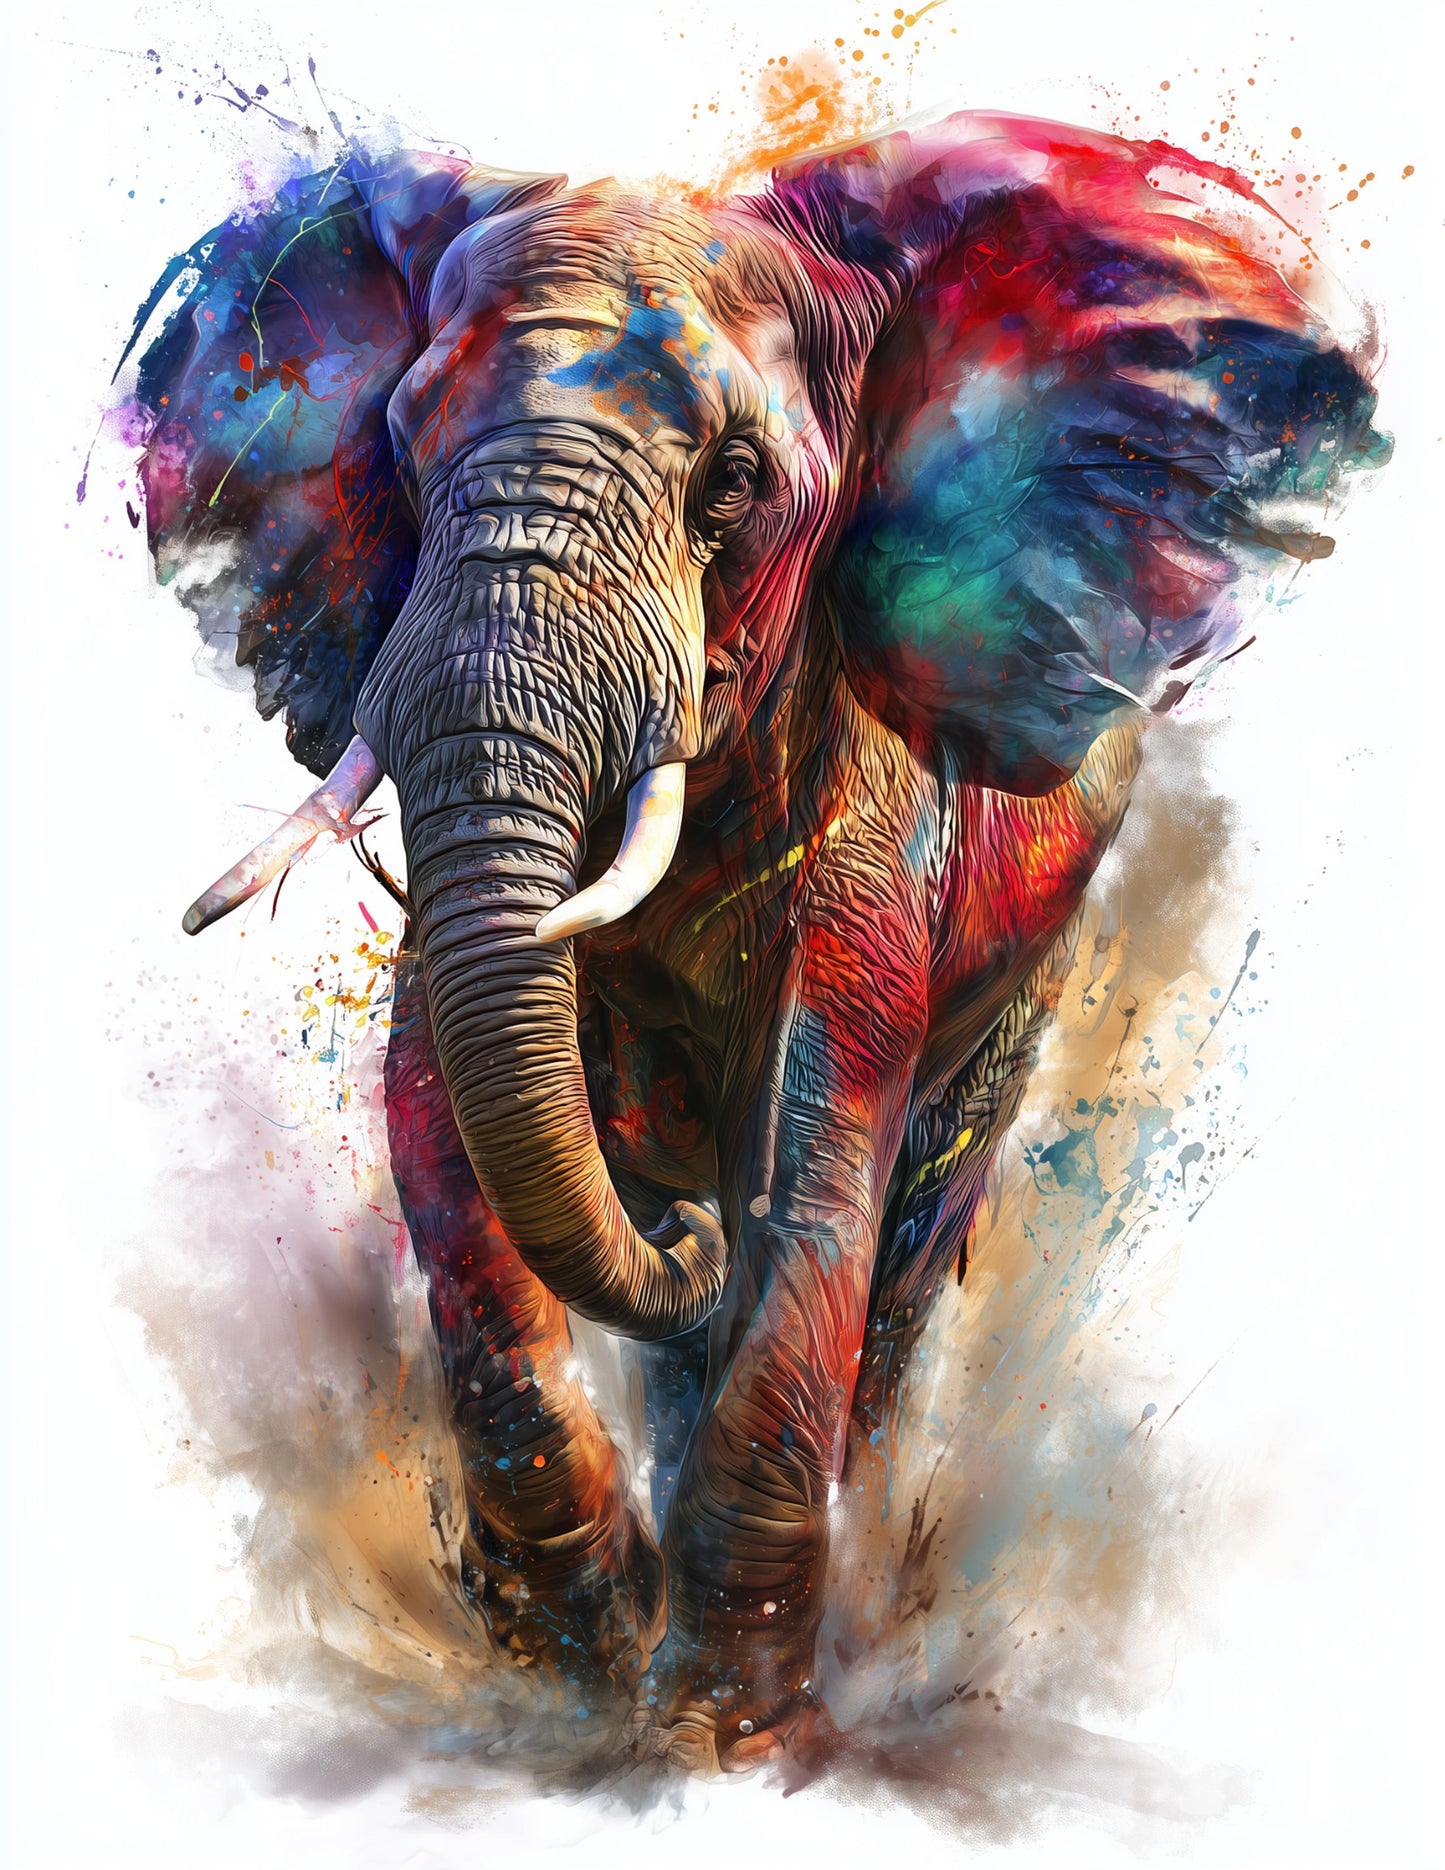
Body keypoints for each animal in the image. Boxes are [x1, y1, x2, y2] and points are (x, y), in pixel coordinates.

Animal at [124, 111, 1383, 1771]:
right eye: (400, 446)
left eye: (732, 480)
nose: (677, 1233)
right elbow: (437, 1110)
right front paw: (579, 1662)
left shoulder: (881, 793)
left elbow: (813, 1132)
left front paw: (721, 1736)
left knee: (908, 1236)